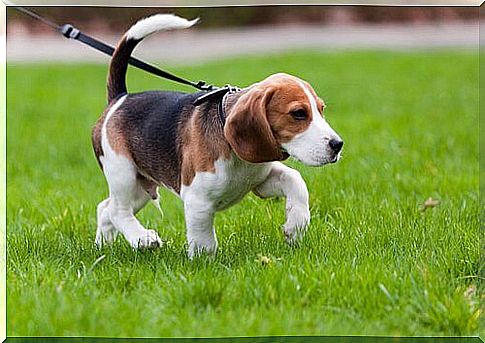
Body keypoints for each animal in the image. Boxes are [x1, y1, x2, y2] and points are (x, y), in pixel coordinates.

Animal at [90, 14, 340, 260]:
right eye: (298, 113)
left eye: (321, 109)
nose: (338, 145)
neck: (234, 151)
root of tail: (120, 98)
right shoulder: (197, 200)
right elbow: (204, 240)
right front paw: (204, 263)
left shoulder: (262, 179)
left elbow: (295, 180)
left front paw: (295, 226)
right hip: (123, 173)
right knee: (118, 211)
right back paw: (143, 239)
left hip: (141, 187)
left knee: (105, 209)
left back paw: (103, 247)